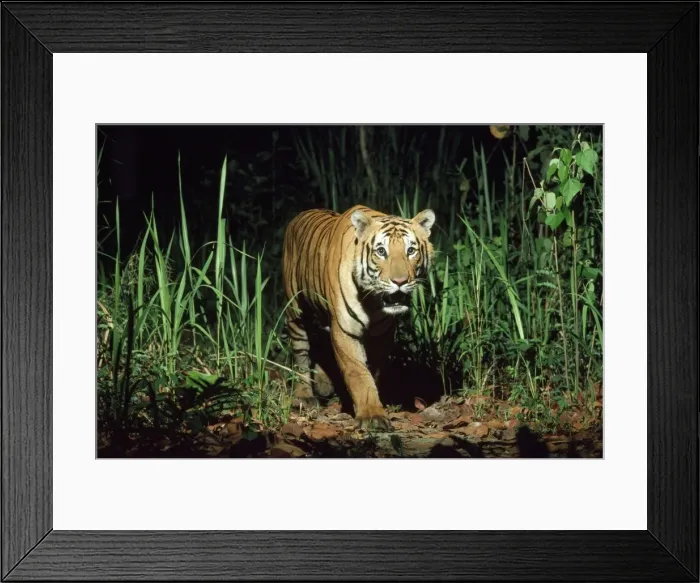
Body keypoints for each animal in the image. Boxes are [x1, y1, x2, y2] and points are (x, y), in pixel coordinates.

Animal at [282, 204, 436, 431]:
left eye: (411, 251)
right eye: (381, 251)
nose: (400, 281)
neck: (373, 303)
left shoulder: (381, 336)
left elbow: (374, 371)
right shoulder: (345, 330)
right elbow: (358, 373)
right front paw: (371, 416)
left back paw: (324, 383)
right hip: (296, 312)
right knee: (301, 354)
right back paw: (305, 396)